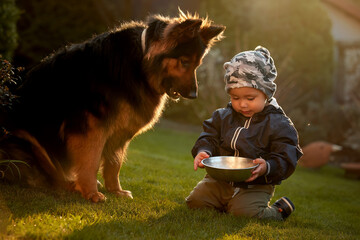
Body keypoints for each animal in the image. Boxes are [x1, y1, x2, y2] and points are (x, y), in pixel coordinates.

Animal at [0, 11, 225, 202]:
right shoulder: (91, 129)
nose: (194, 95)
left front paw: (115, 190)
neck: (139, 65)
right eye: (184, 62)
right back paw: (72, 185)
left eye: (197, 65)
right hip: (25, 141)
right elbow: (90, 162)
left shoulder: (120, 131)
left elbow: (114, 163)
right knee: (44, 177)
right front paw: (91, 193)